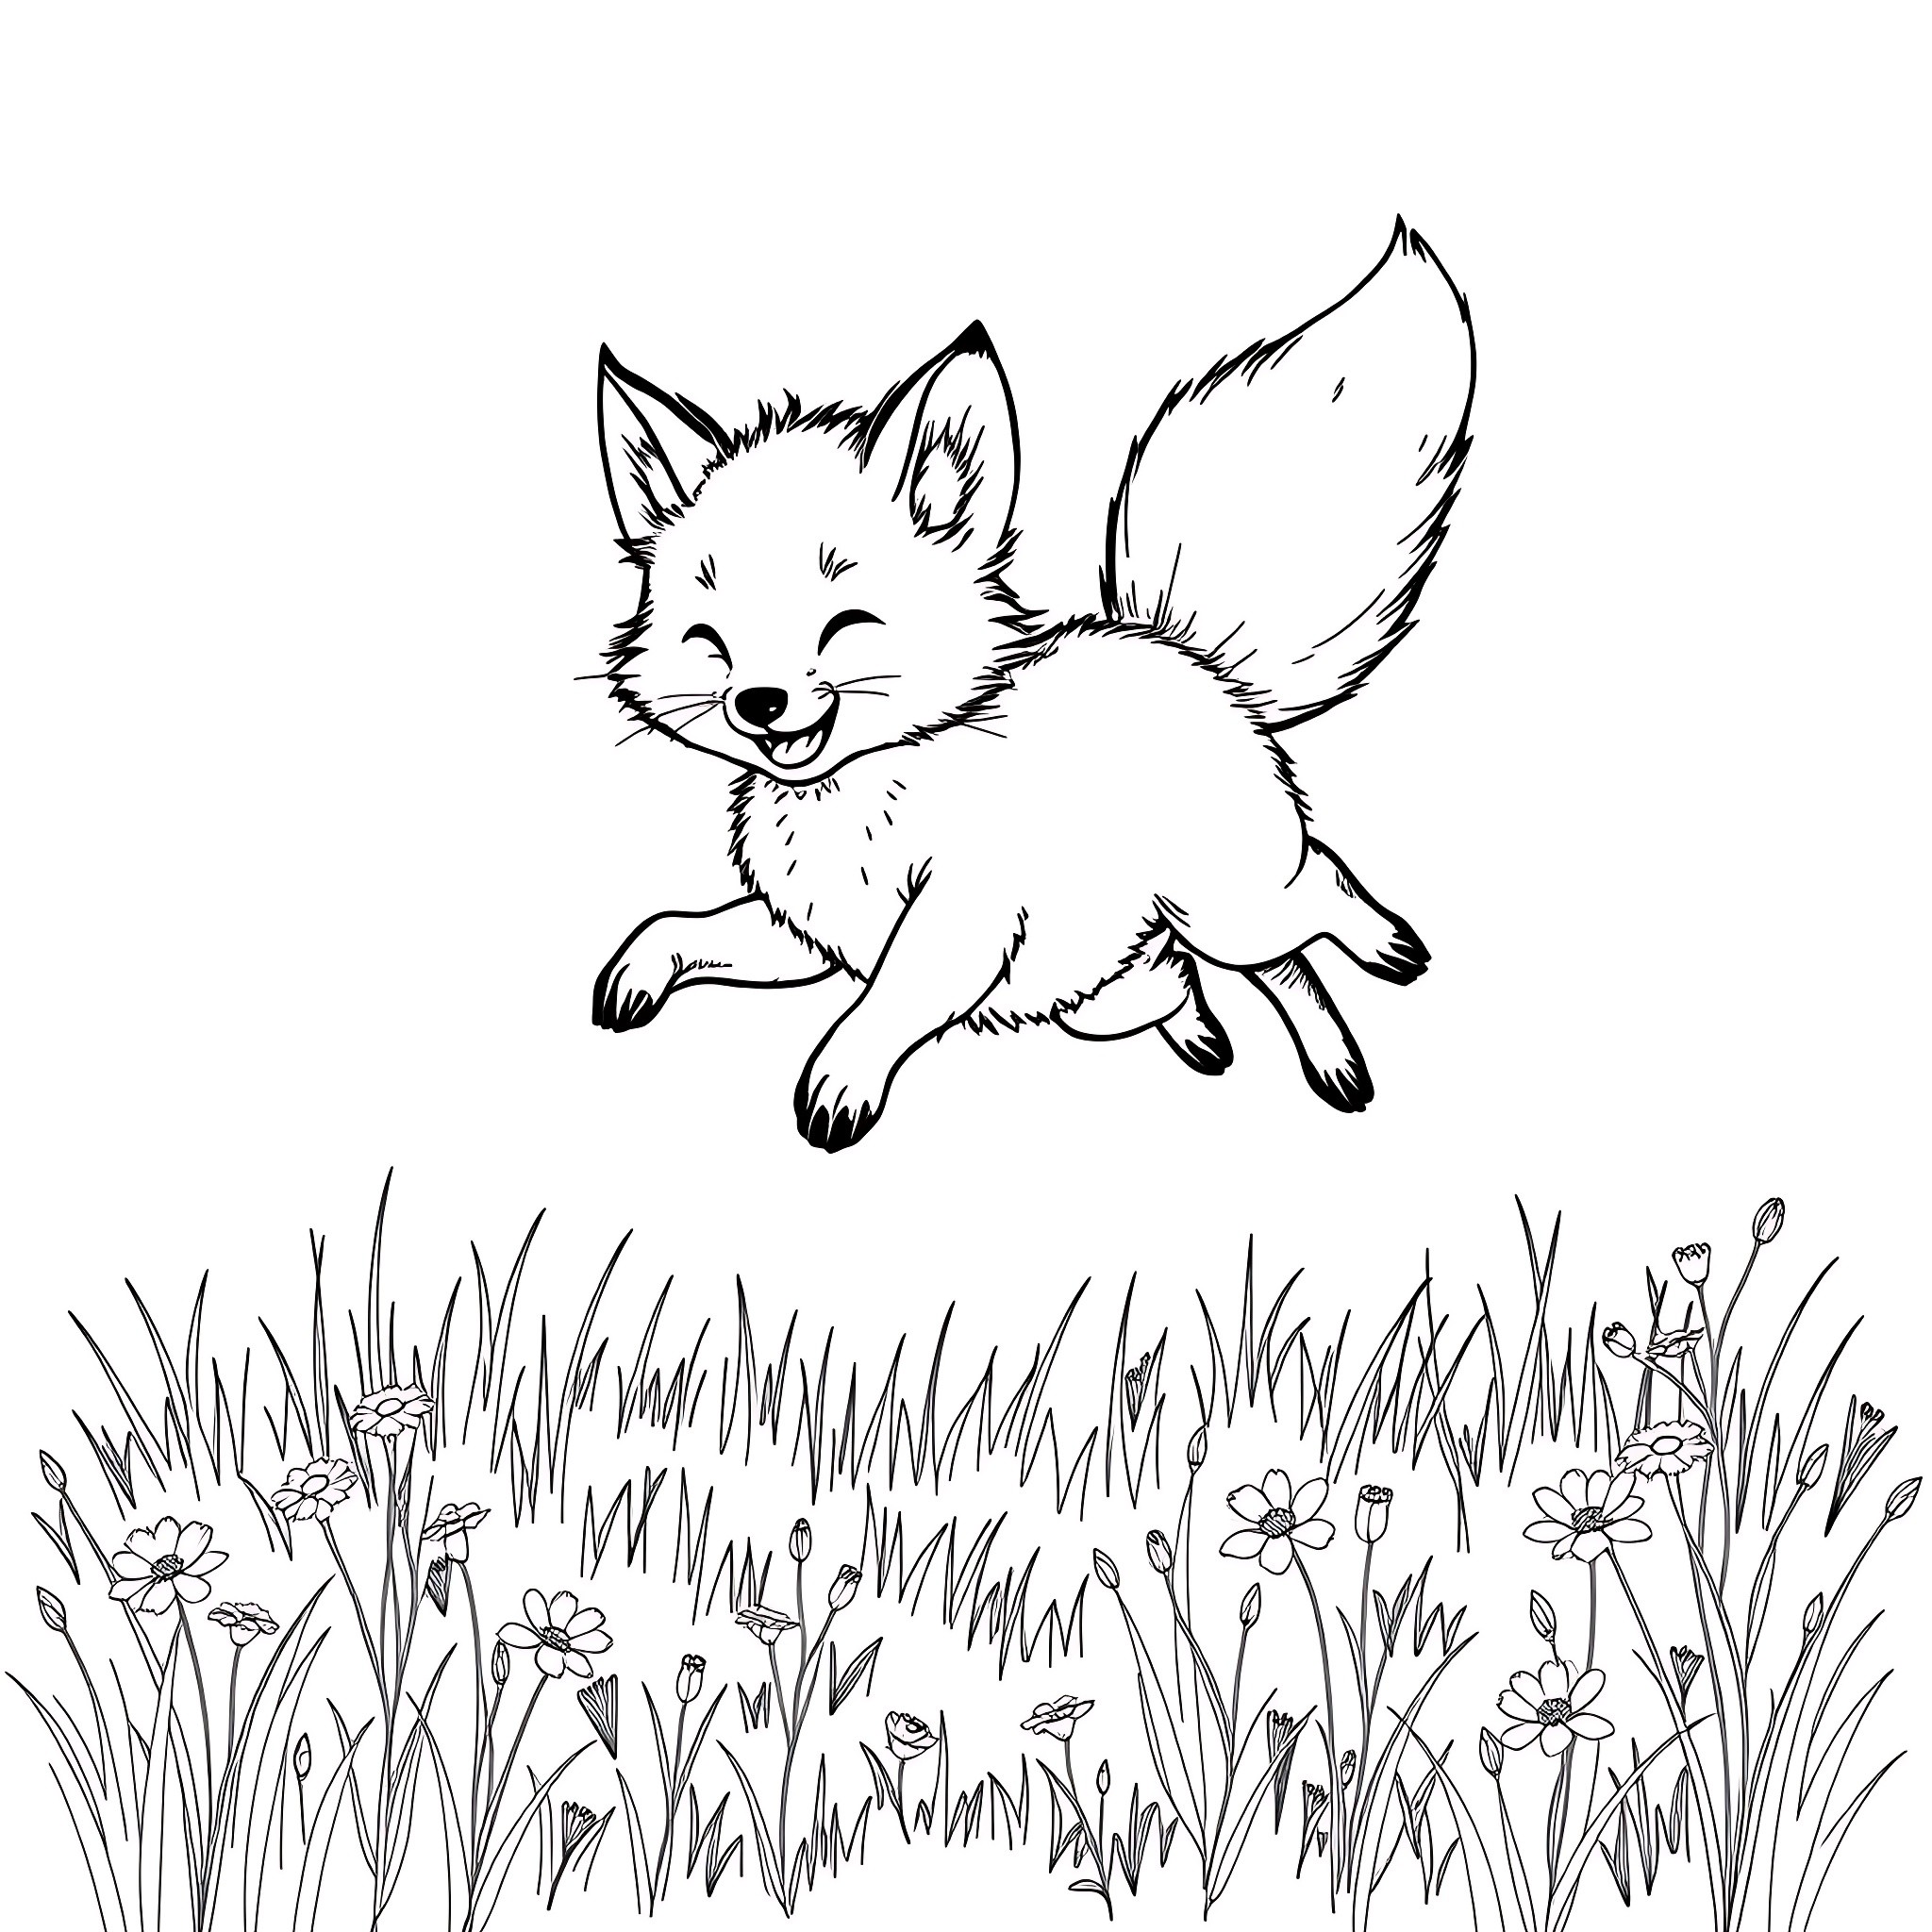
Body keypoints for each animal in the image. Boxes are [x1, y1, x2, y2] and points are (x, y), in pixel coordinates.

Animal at [590, 218, 1475, 1151]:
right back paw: (1227, 1038)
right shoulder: (817, 934)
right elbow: (682, 928)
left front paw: (841, 1081)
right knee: (1226, 970)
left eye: (845, 625)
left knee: (1318, 891)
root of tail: (1193, 657)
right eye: (710, 641)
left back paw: (1383, 953)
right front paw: (638, 969)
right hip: (1117, 987)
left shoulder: (960, 926)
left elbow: (884, 1006)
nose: (760, 703)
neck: (852, 805)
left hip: (1228, 910)